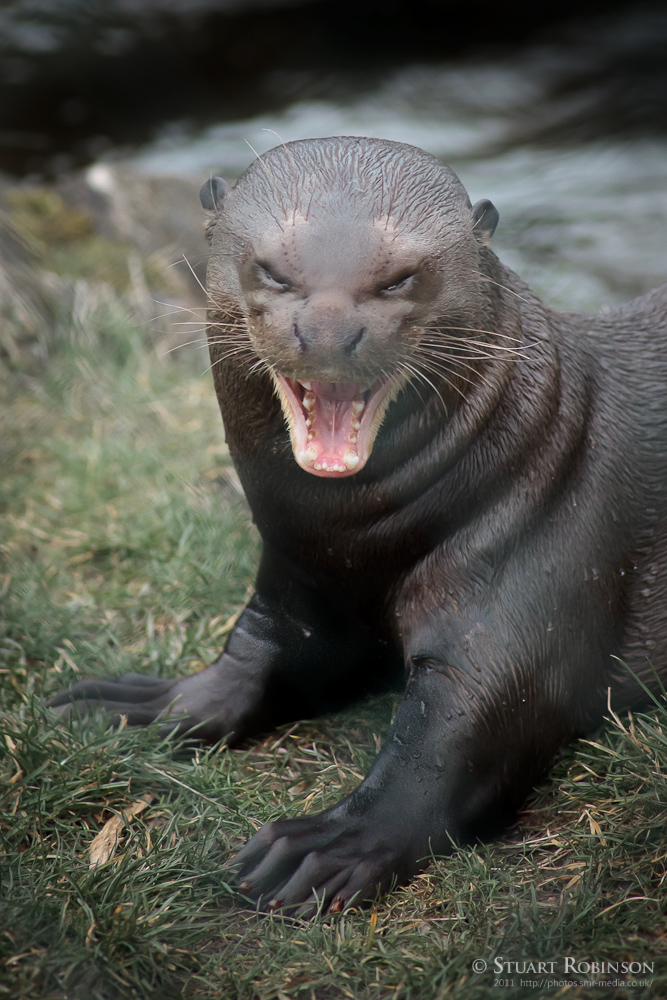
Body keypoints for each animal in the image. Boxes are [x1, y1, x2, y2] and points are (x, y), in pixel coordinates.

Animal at [49, 136, 667, 916]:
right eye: (272, 270)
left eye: (401, 278)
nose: (327, 332)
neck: (356, 546)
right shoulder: (296, 580)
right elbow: (252, 658)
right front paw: (141, 703)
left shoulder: (536, 567)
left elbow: (461, 732)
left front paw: (327, 843)